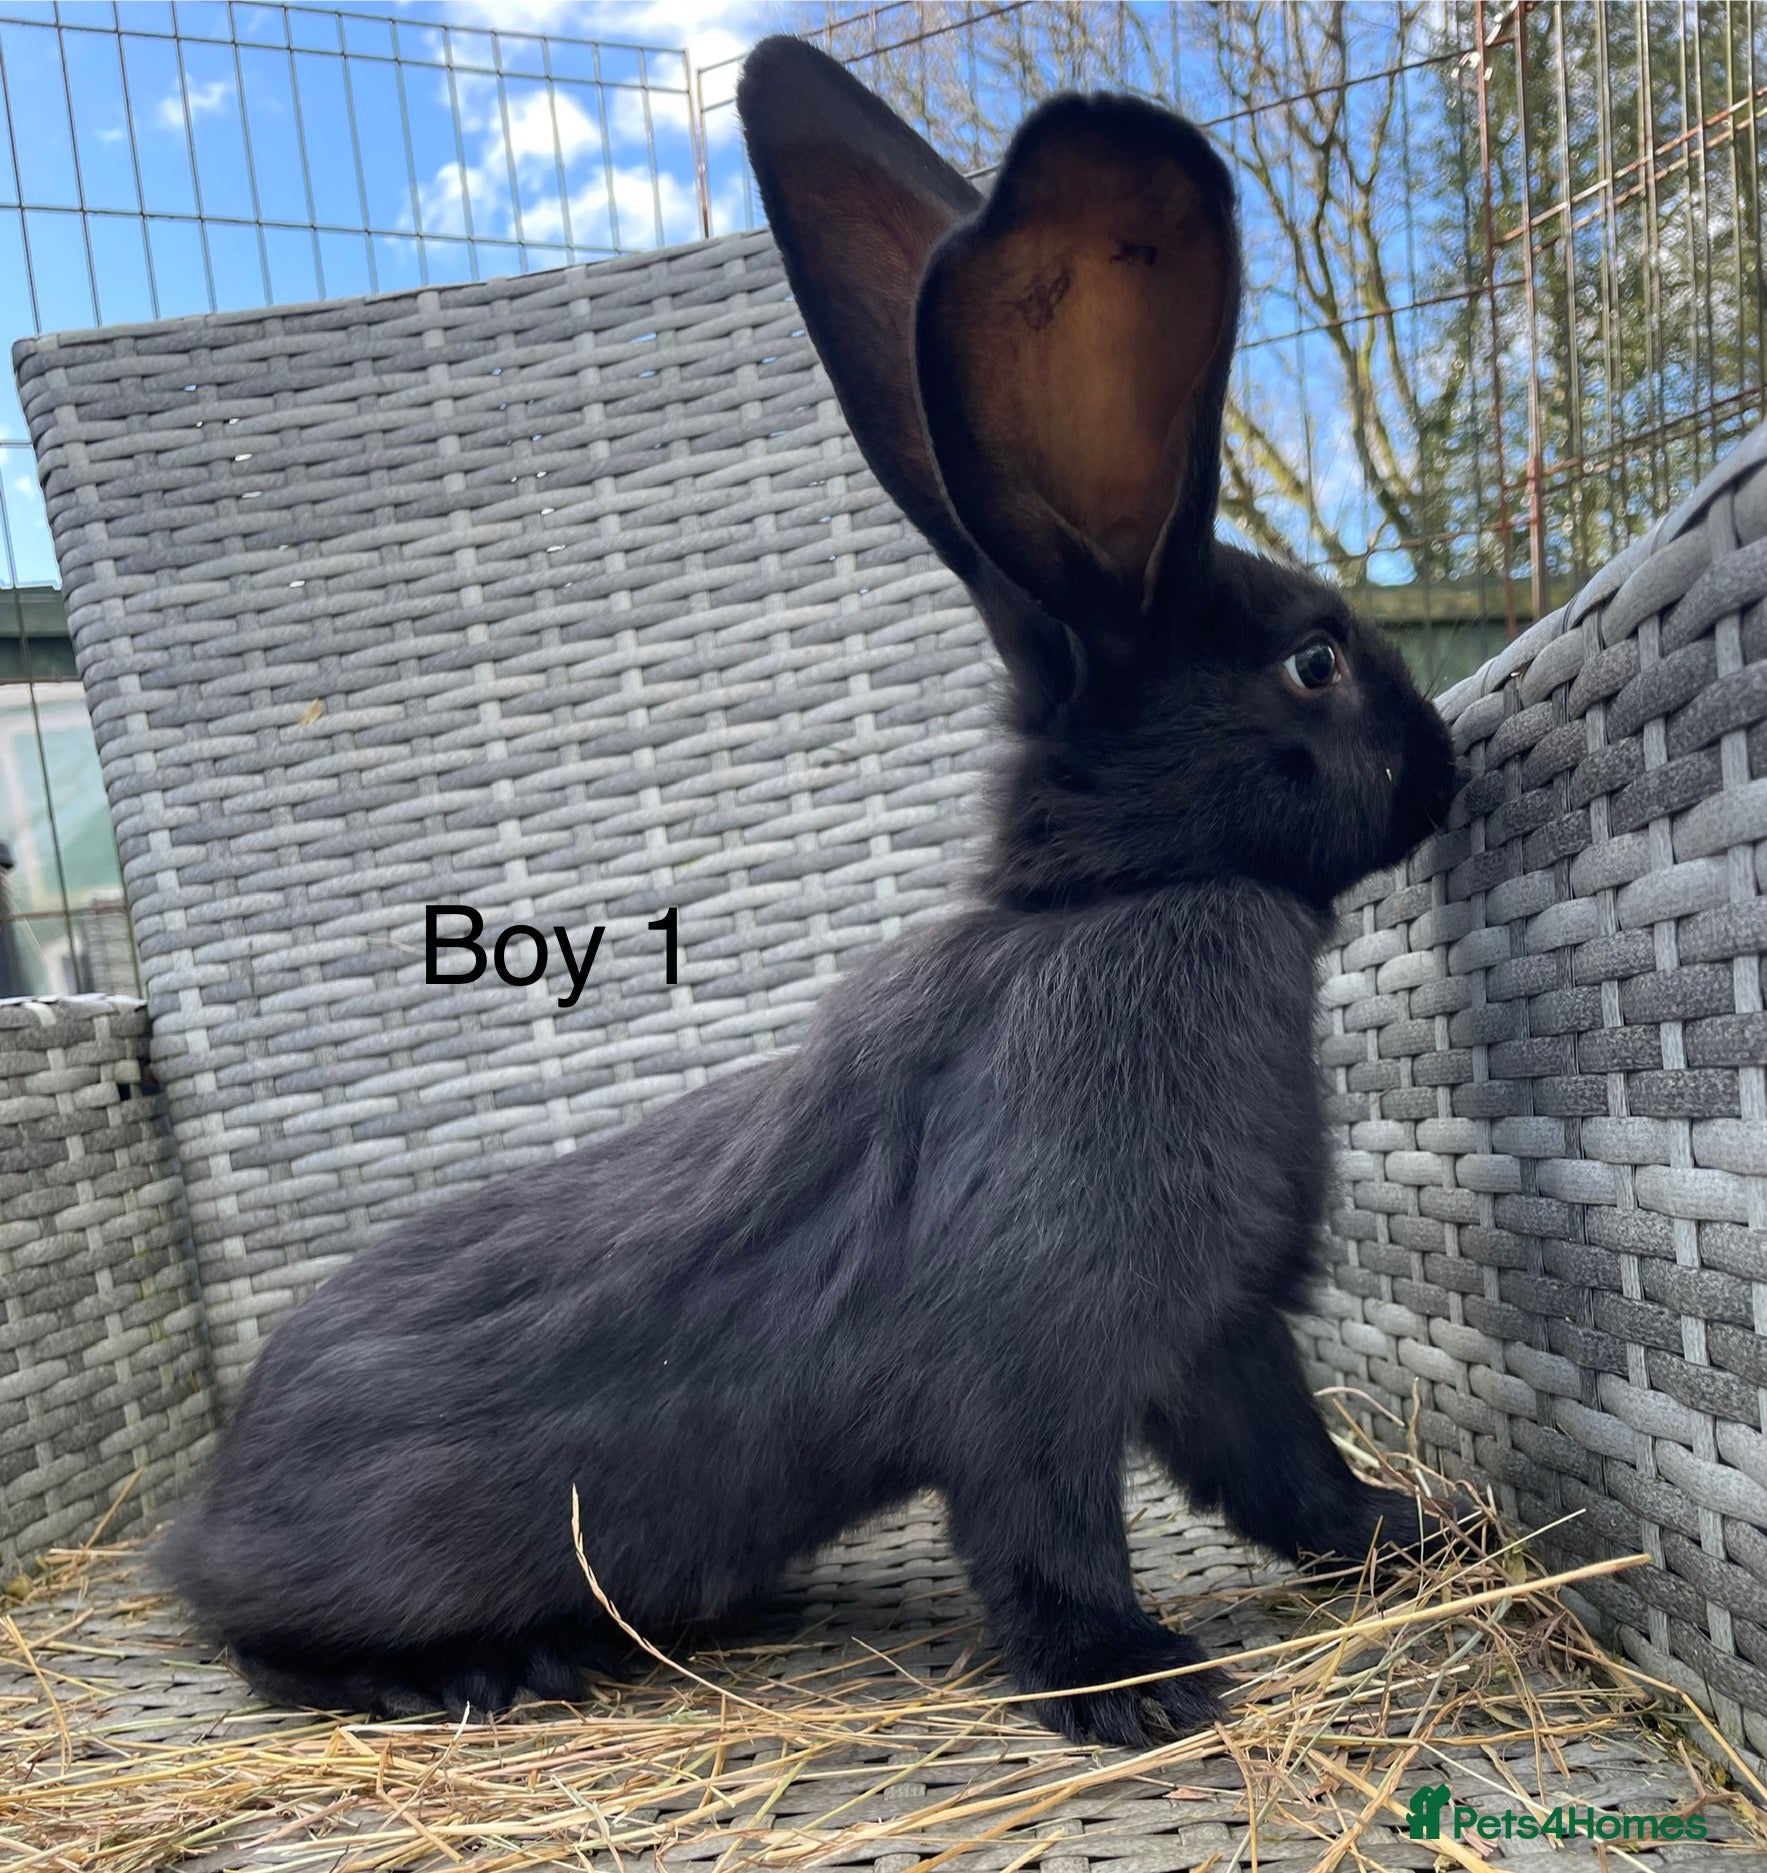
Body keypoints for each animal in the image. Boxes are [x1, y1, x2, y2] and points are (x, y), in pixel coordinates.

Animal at [158, 35, 1460, 1749]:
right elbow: (1054, 1532)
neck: (1117, 898)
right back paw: (483, 1669)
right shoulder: (1050, 1370)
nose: (1446, 765)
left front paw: (1412, 1537)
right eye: (1315, 665)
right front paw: (1137, 1684)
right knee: (265, 1651)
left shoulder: (1222, 1336)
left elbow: (1288, 1476)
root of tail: (200, 1520)